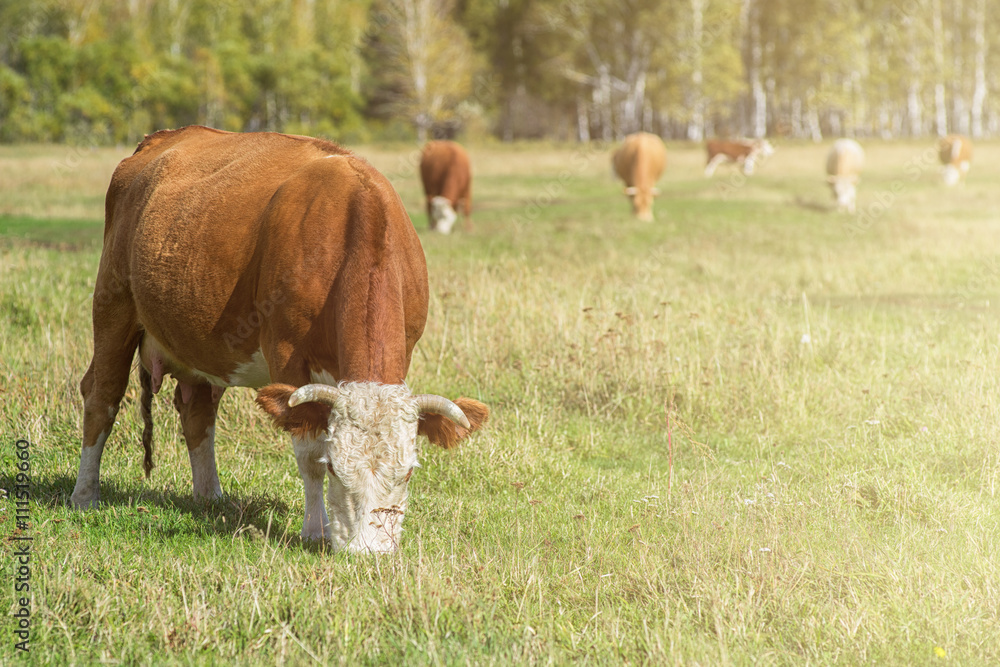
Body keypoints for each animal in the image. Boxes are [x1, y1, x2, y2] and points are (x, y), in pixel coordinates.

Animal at [68, 125, 490, 552]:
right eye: (334, 468)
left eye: (408, 472)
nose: (368, 551)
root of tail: (160, 139)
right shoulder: (287, 355)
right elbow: (307, 450)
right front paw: (315, 529)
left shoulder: (404, 350)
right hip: (113, 305)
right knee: (101, 396)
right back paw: (85, 495)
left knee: (197, 412)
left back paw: (209, 496)